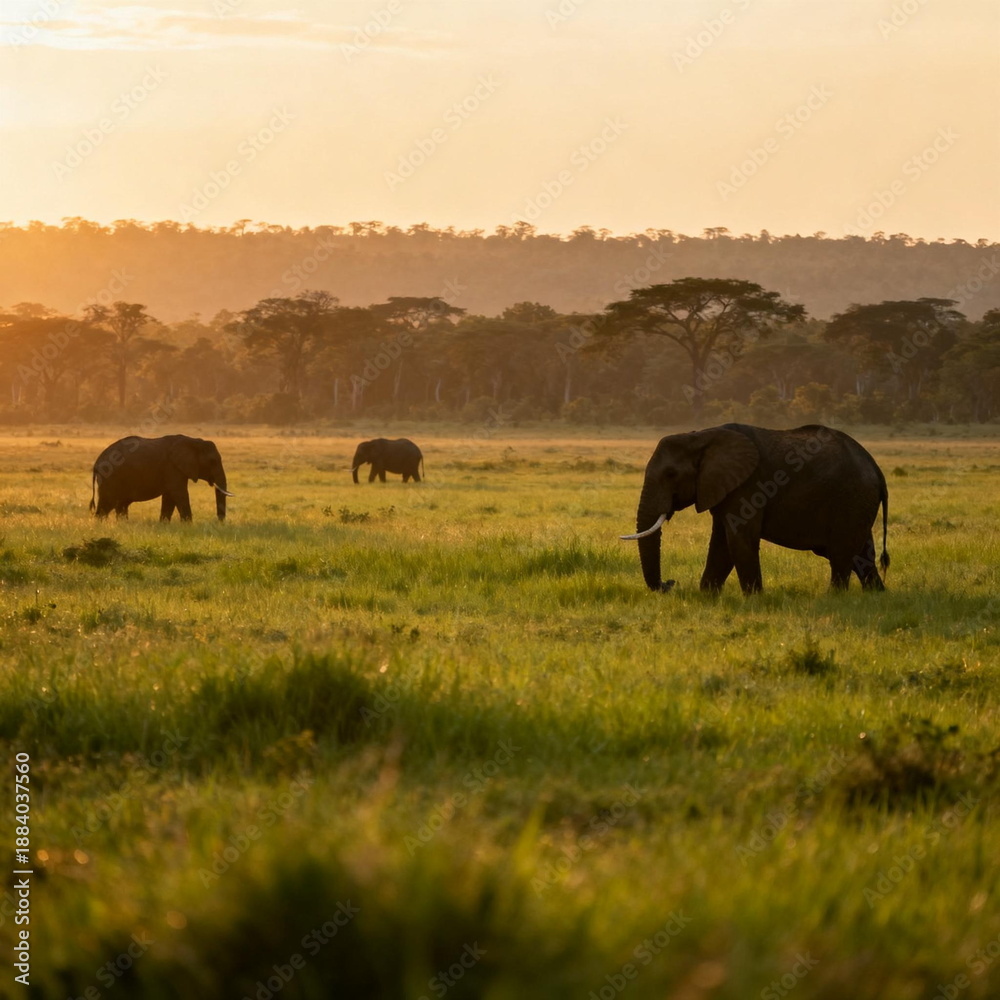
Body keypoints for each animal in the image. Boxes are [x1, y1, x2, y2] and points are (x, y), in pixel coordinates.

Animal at [90, 435, 232, 521]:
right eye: (213, 461)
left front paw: (164, 525)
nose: (219, 522)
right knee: (107, 504)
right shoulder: (173, 467)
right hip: (110, 478)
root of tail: (97, 463)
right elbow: (179, 494)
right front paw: (189, 526)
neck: (194, 441)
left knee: (121, 505)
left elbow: (169, 497)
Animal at [621, 423, 889, 594]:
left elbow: (738, 540)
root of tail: (876, 467)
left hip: (851, 497)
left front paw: (754, 598)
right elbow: (721, 543)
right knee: (862, 554)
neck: (699, 436)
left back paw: (833, 597)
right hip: (857, 502)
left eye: (670, 474)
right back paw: (876, 595)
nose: (669, 583)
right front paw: (707, 595)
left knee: (842, 553)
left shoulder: (748, 486)